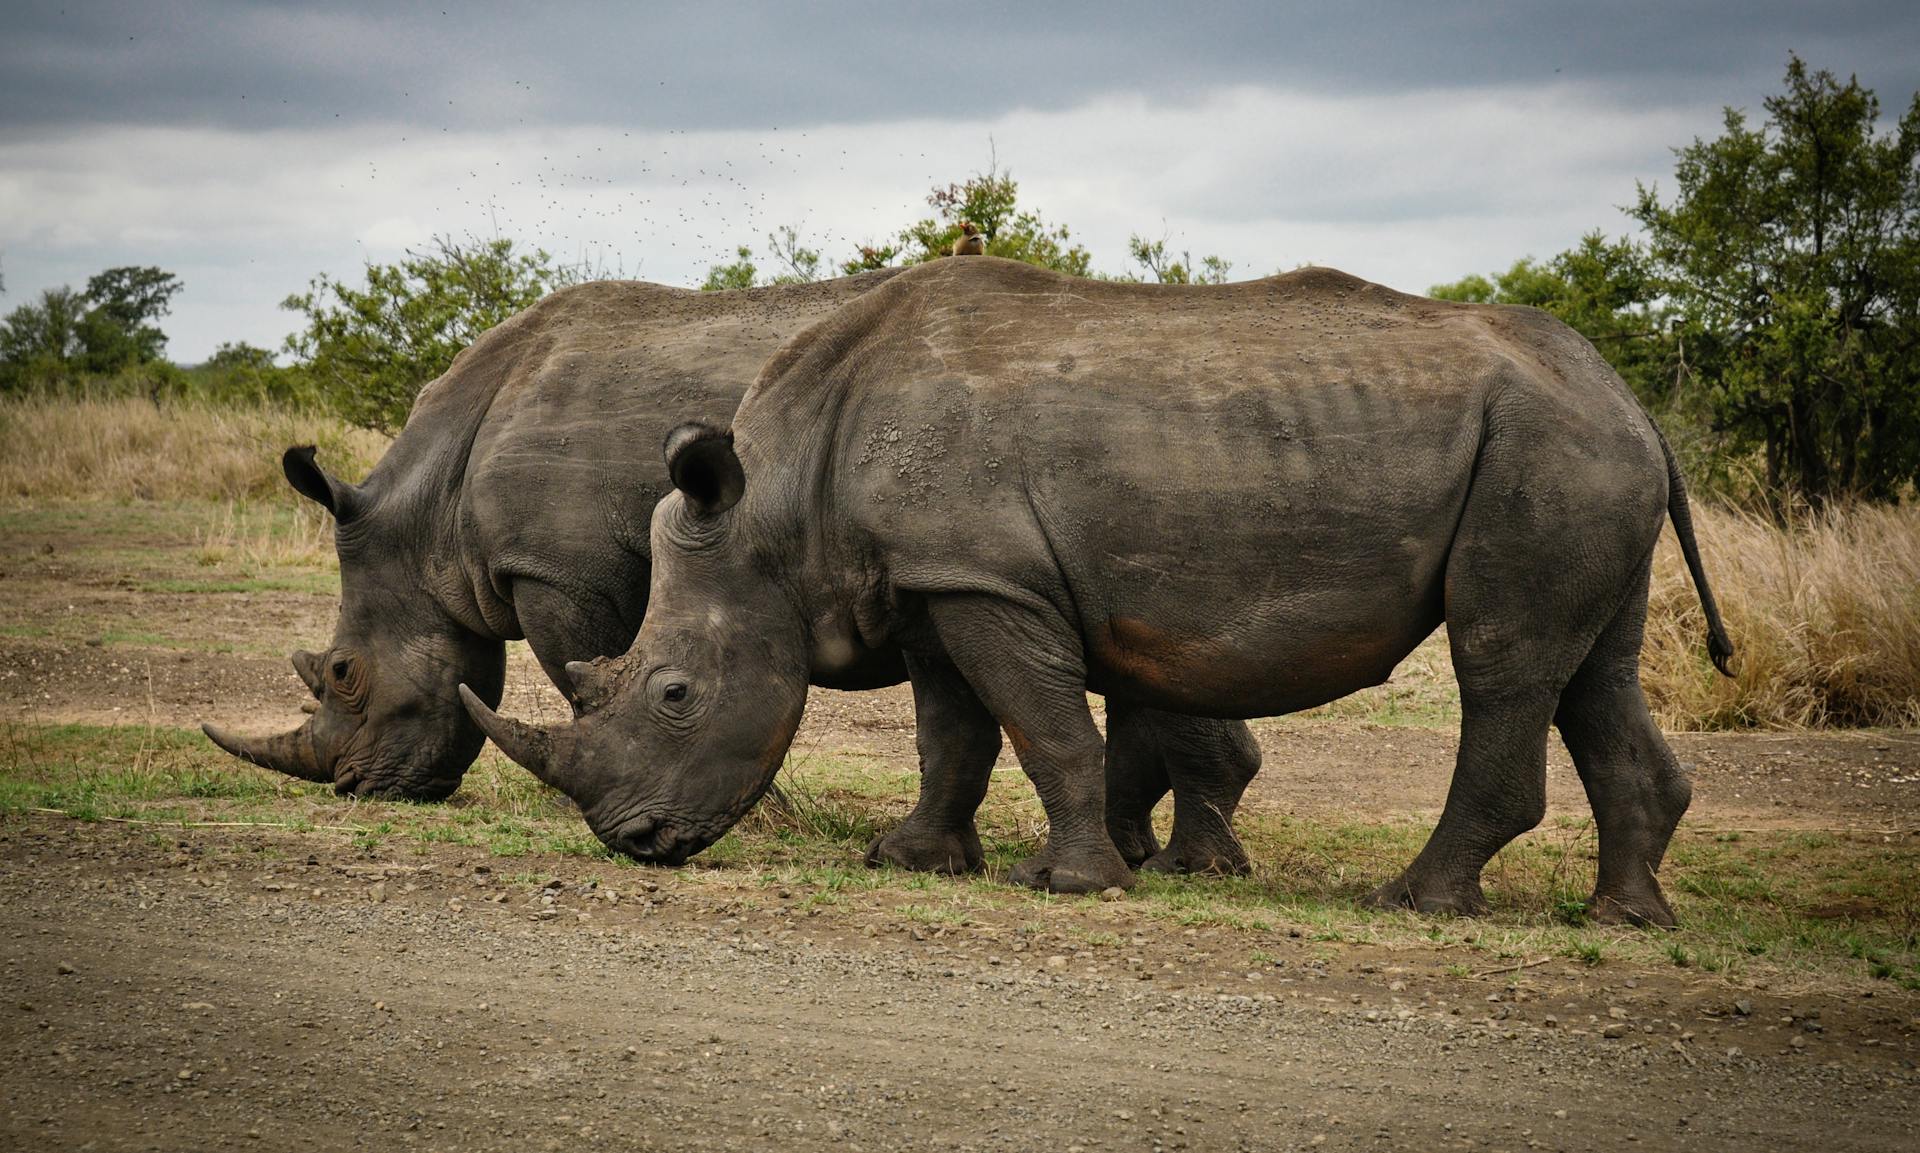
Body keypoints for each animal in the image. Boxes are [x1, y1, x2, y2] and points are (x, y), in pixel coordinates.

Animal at [202, 271, 1259, 875]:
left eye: (344, 674)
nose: (354, 786)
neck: (431, 511)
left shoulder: (559, 572)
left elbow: (588, 674)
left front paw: (764, 817)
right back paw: (1156, 853)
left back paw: (1172, 859)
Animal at [463, 257, 1734, 922]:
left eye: (673, 693)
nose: (634, 840)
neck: (778, 507)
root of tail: (1633, 402)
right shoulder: (938, 580)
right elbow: (953, 733)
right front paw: (911, 860)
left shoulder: (990, 581)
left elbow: (1042, 726)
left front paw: (1071, 884)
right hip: (1575, 455)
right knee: (1591, 668)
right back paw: (1626, 916)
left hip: (1548, 456)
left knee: (1501, 659)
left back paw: (1416, 901)